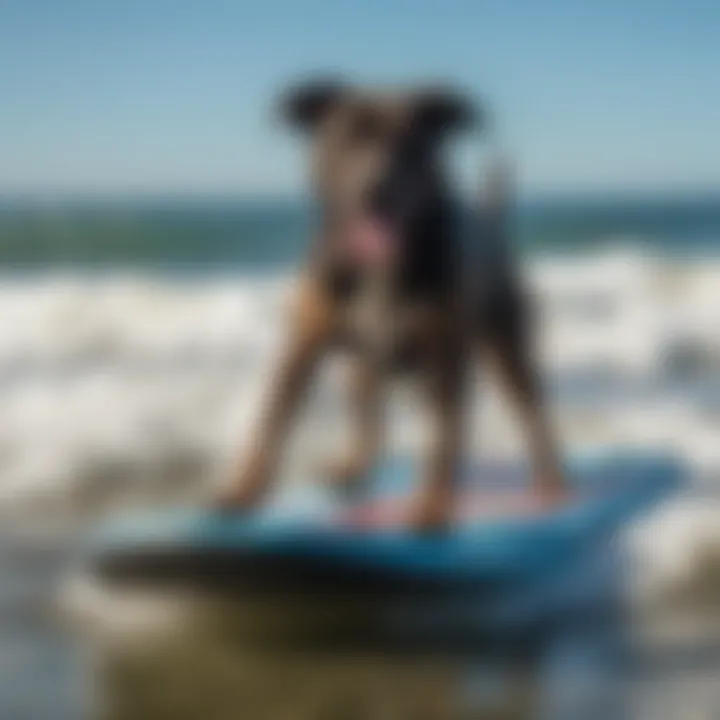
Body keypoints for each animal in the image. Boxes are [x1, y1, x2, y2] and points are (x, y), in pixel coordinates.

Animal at [217, 79, 564, 528]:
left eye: (411, 145)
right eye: (347, 137)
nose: (377, 190)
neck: (379, 268)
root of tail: (490, 222)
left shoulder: (445, 353)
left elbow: (445, 436)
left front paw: (433, 506)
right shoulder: (304, 343)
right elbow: (274, 416)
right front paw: (244, 489)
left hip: (508, 349)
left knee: (533, 412)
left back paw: (553, 480)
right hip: (364, 366)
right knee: (369, 414)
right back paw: (355, 466)